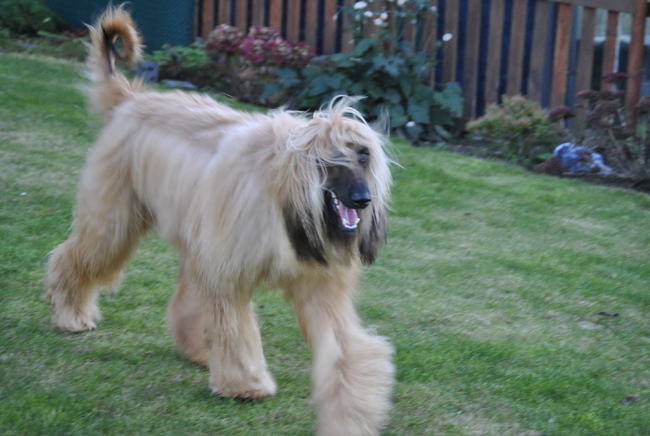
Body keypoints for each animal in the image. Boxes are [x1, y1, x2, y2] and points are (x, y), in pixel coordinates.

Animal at [45, 6, 392, 436]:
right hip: (115, 216)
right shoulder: (231, 272)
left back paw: (196, 348)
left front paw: (349, 417)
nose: (362, 200)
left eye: (363, 155)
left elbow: (347, 353)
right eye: (332, 159)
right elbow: (235, 329)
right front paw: (246, 384)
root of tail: (131, 100)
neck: (288, 199)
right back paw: (70, 313)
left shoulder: (319, 285)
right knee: (78, 254)